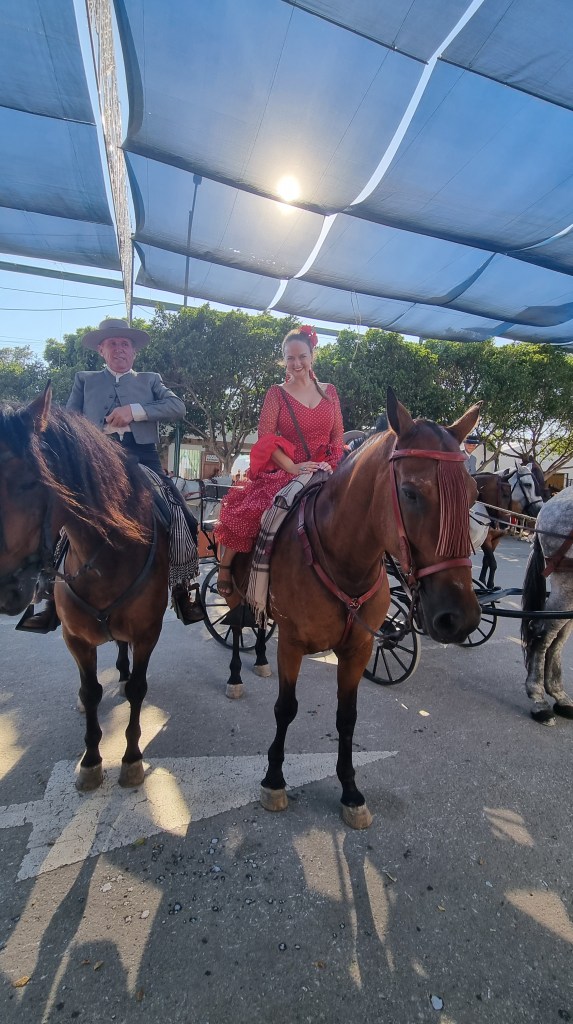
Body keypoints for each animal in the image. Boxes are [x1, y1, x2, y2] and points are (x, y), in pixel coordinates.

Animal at [0, 386, 169, 791]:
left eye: (32, 482)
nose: (6, 588)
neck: (107, 555)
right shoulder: (75, 637)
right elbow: (92, 691)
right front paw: (91, 761)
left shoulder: (147, 632)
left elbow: (138, 688)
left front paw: (131, 759)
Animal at [225, 388, 482, 828]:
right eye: (411, 492)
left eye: (473, 494)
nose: (460, 617)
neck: (342, 559)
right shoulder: (292, 644)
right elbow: (285, 708)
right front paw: (274, 778)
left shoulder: (358, 648)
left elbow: (347, 717)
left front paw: (349, 791)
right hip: (235, 590)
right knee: (237, 623)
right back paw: (237, 675)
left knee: (257, 626)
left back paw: (258, 659)